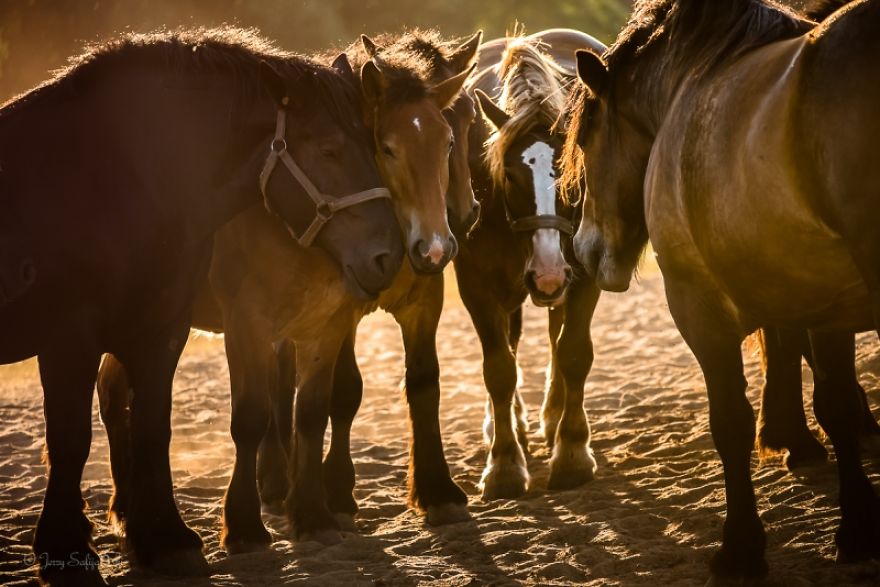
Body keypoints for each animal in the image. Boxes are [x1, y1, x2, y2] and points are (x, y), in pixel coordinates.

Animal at [0, 28, 403, 585]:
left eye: (376, 146)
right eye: (329, 149)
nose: (389, 255)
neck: (122, 177)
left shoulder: (163, 328)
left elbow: (156, 427)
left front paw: (166, 541)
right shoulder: (69, 338)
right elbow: (71, 441)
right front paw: (69, 551)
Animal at [96, 29, 481, 550]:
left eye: (451, 138)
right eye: (386, 147)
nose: (443, 237)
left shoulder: (407, 305)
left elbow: (407, 387)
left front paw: (434, 491)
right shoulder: (261, 322)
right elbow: (304, 403)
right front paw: (312, 503)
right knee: (115, 395)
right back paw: (127, 508)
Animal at [452, 30, 606, 501]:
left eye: (574, 174)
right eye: (510, 176)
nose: (548, 274)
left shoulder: (582, 275)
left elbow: (573, 351)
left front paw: (572, 453)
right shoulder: (477, 285)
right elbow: (499, 368)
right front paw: (504, 463)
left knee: (556, 337)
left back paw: (553, 416)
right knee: (513, 342)